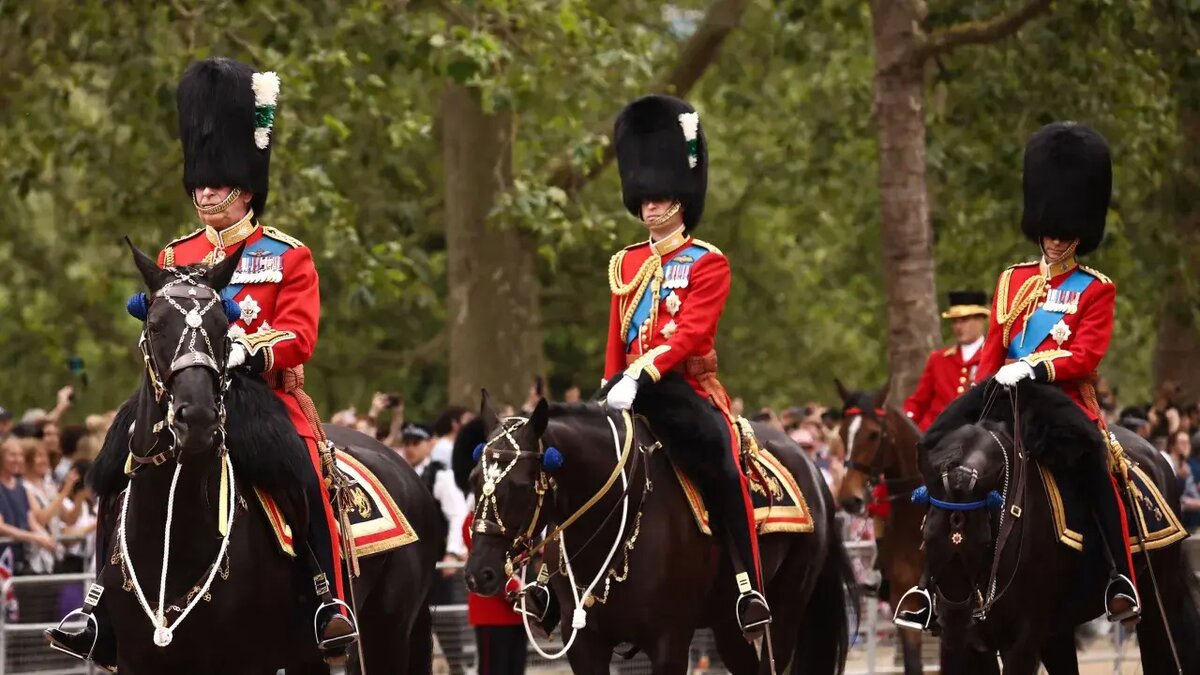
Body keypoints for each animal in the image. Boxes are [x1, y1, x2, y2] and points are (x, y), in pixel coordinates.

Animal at [82, 242, 444, 672]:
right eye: (154, 326)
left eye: (222, 329)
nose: (198, 418)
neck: (173, 540)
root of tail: (406, 469)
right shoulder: (138, 660)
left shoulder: (247, 660)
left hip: (387, 634)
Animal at [456, 384, 854, 672]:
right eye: (474, 479)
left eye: (522, 486)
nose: (479, 574)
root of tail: (809, 465)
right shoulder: (584, 644)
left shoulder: (669, 641)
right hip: (727, 623)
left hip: (785, 612)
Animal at [912, 381, 1195, 667]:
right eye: (926, 537)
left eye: (983, 540)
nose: (956, 623)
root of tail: (1155, 455)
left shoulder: (1023, 640)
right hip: (1057, 630)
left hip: (1158, 600)